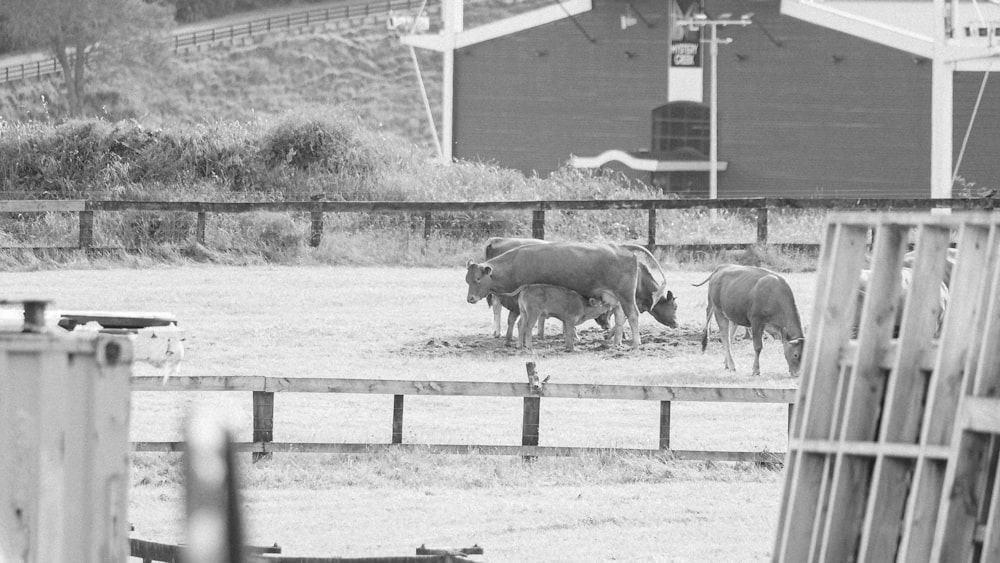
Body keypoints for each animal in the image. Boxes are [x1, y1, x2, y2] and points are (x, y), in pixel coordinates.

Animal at [466, 240, 668, 346]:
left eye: (478, 279)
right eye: (467, 279)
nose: (470, 298)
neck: (515, 264)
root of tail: (622, 249)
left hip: (625, 296)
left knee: (632, 315)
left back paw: (635, 343)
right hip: (614, 297)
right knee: (619, 317)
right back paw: (616, 342)